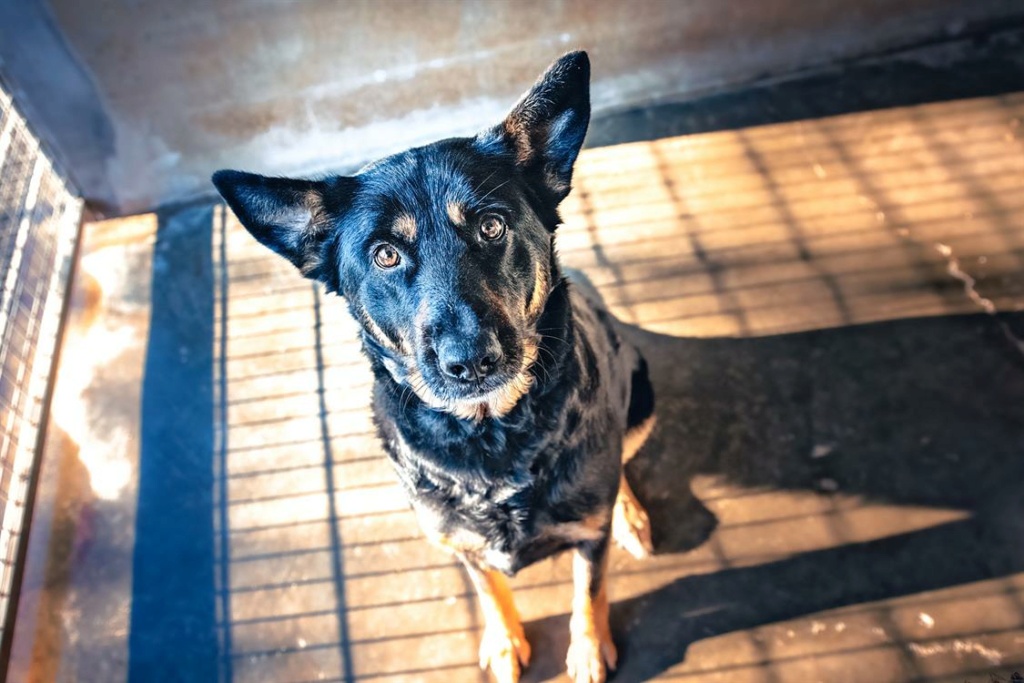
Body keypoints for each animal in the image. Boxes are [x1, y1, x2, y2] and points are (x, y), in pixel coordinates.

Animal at [211, 53, 655, 683]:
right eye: (385, 255)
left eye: (491, 226)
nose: (470, 360)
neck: (492, 438)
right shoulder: (458, 541)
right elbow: (487, 586)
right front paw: (504, 641)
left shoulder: (587, 536)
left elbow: (589, 591)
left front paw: (588, 649)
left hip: (639, 392)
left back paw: (630, 515)